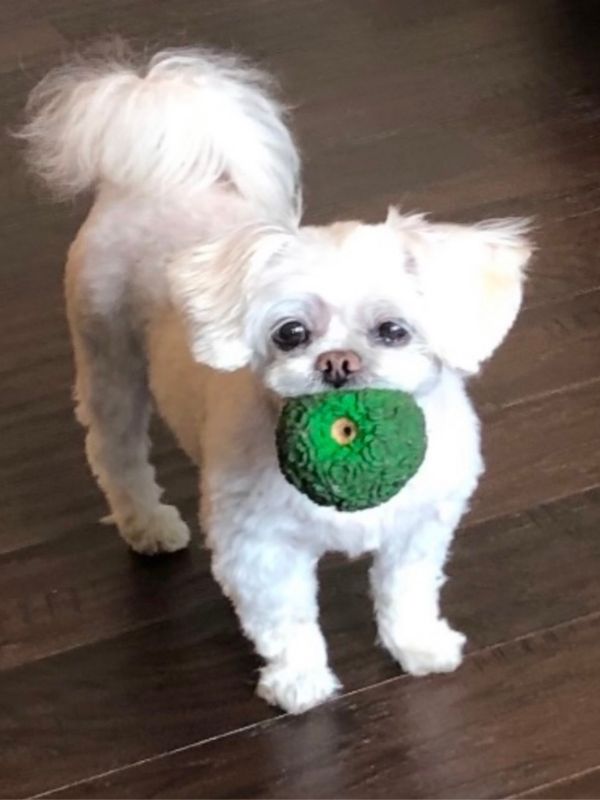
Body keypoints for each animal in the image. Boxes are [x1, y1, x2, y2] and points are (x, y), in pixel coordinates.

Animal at [20, 45, 531, 714]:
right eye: (291, 333)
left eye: (393, 331)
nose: (338, 363)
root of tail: (152, 176)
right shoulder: (256, 547)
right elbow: (285, 620)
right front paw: (300, 683)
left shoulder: (419, 526)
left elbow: (407, 592)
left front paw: (419, 647)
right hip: (110, 362)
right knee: (117, 454)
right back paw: (148, 525)